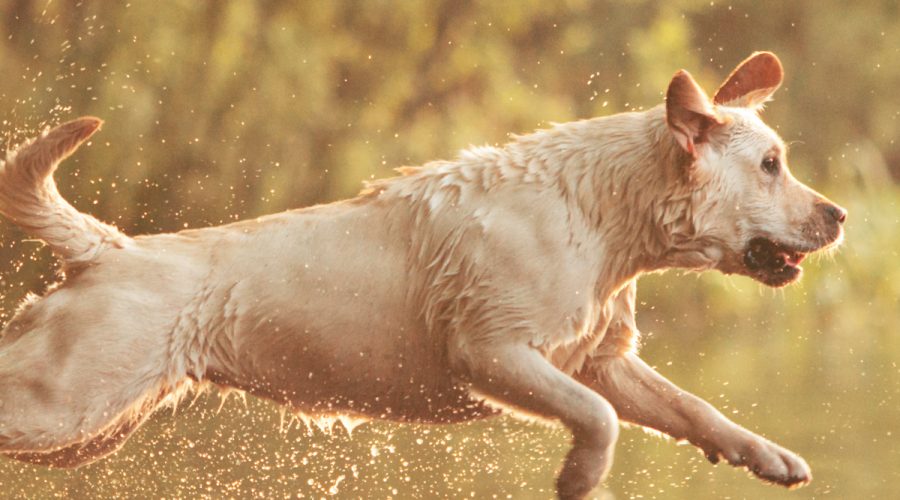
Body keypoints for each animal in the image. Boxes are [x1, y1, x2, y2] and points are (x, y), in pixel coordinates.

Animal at [0, 52, 844, 498]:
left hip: (89, 429)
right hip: (64, 401)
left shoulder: (599, 361)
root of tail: (108, 247)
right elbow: (599, 420)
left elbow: (694, 408)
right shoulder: (491, 352)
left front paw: (764, 455)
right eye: (771, 165)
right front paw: (580, 476)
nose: (839, 215)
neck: (605, 215)